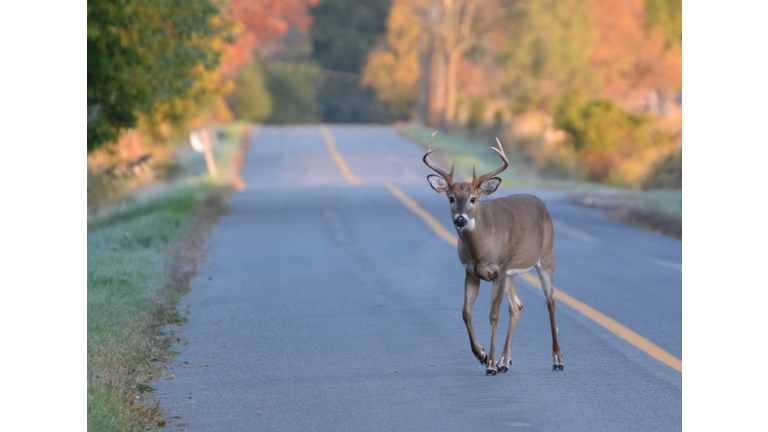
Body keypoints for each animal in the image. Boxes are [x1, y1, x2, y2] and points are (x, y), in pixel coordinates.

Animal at [420, 132, 564, 374]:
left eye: (473, 198)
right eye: (451, 198)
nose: (461, 219)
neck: (481, 247)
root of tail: (540, 202)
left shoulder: (498, 269)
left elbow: (493, 315)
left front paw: (490, 364)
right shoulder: (472, 271)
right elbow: (466, 312)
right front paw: (482, 355)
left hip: (546, 257)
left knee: (550, 300)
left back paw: (557, 360)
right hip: (511, 272)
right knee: (516, 305)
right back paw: (506, 361)